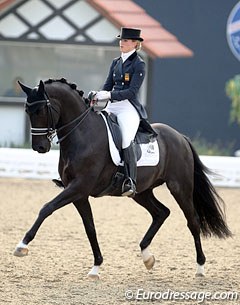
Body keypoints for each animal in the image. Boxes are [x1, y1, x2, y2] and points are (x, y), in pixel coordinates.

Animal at [14, 78, 232, 278]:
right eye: (27, 111)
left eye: (41, 111)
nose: (39, 147)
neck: (83, 134)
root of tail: (180, 137)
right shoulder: (79, 194)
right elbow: (90, 227)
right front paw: (96, 267)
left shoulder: (79, 187)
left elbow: (46, 208)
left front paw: (22, 245)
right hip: (141, 192)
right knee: (161, 212)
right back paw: (147, 257)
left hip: (180, 187)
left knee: (192, 221)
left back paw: (200, 267)